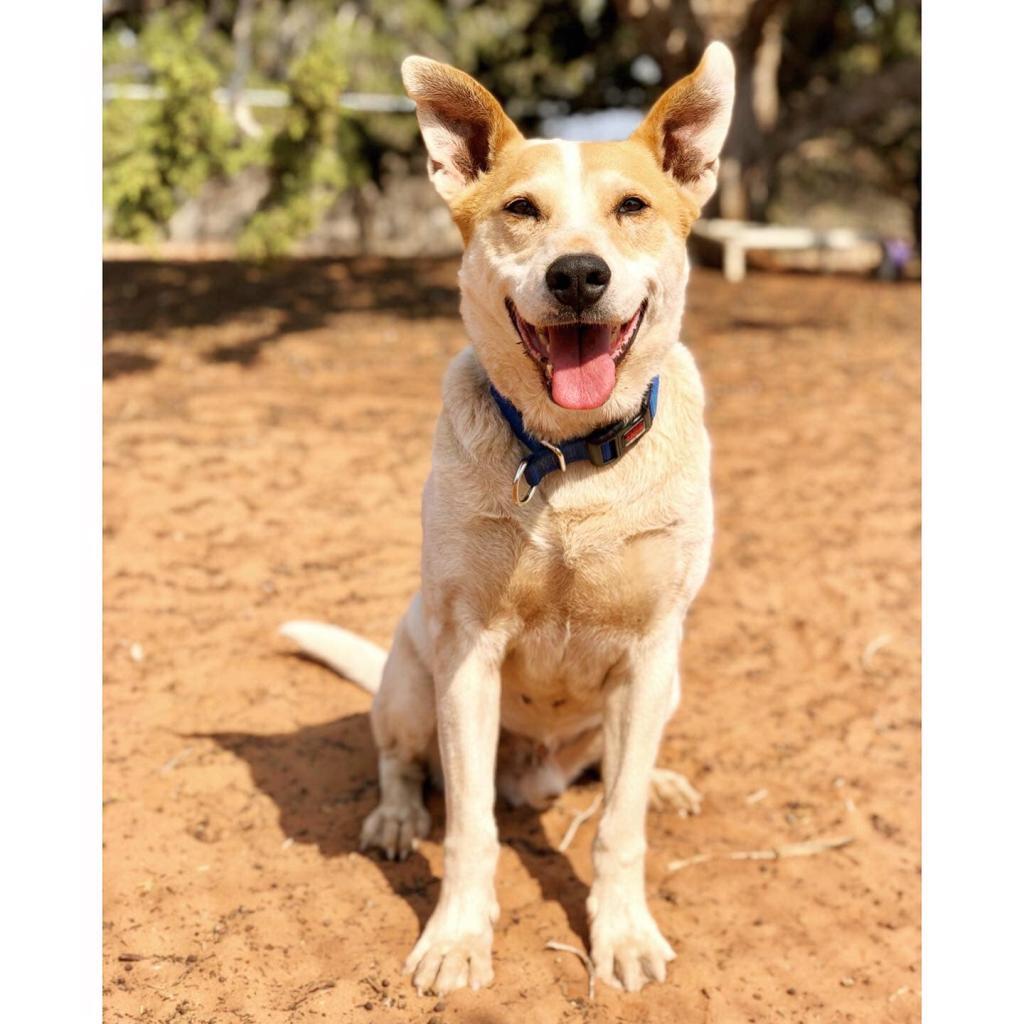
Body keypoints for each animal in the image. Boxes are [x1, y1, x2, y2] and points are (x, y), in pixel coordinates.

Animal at [280, 44, 737, 995]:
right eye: (521, 210)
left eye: (633, 208)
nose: (578, 275)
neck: (568, 460)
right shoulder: (468, 660)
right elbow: (471, 830)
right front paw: (456, 939)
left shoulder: (652, 655)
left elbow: (619, 826)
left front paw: (623, 933)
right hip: (409, 676)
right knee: (403, 764)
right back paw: (395, 818)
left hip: (666, 686)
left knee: (613, 771)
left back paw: (660, 780)